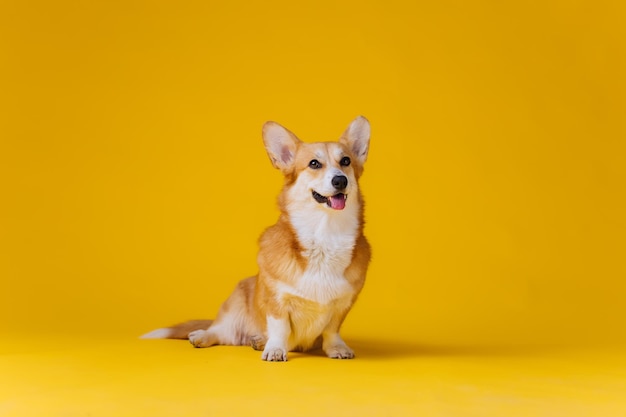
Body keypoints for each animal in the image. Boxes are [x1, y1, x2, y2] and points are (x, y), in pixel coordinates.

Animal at [143, 115, 370, 360]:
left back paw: (258, 340)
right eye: (314, 164)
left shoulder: (343, 304)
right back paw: (204, 336)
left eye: (345, 161)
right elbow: (280, 327)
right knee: (220, 331)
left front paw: (337, 348)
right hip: (235, 307)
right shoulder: (276, 299)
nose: (340, 181)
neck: (324, 233)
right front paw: (275, 349)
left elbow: (331, 330)